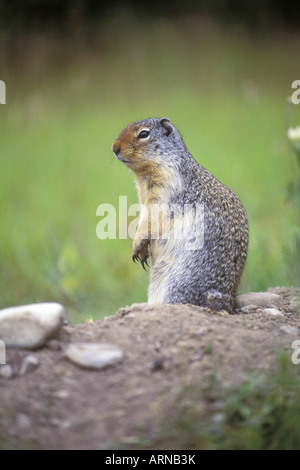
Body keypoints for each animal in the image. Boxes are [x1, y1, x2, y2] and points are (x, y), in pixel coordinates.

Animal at [112, 117, 248, 312]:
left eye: (143, 134)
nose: (114, 148)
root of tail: (229, 301)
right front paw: (143, 251)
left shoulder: (165, 189)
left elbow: (150, 220)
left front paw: (137, 245)